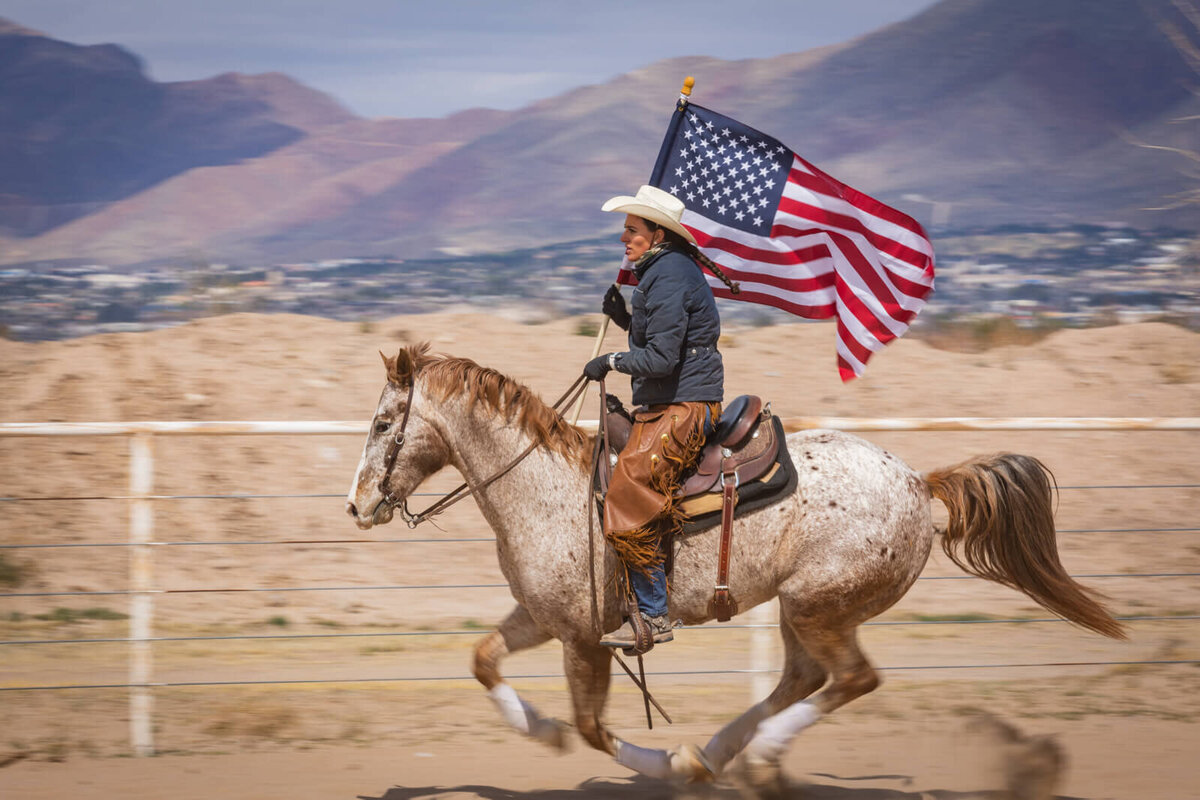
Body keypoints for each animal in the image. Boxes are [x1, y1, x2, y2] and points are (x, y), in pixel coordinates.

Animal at [345, 345, 1123, 786]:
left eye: (384, 422)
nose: (356, 505)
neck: (540, 486)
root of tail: (917, 481)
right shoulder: (544, 619)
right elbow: (482, 660)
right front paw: (541, 731)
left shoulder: (585, 639)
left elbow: (594, 728)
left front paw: (661, 765)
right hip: (800, 611)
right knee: (804, 679)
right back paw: (724, 754)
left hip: (820, 606)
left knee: (852, 679)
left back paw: (749, 756)